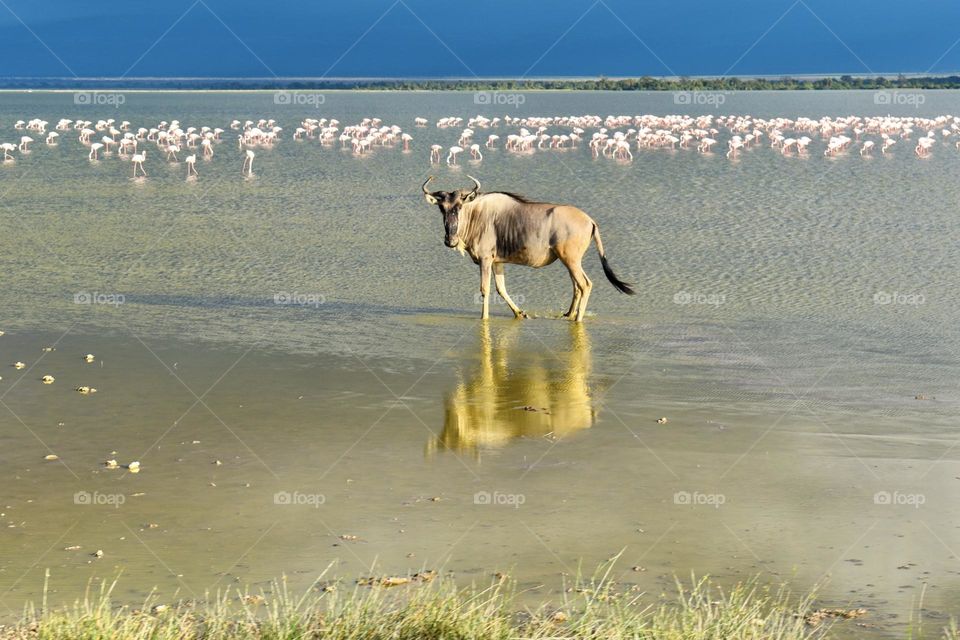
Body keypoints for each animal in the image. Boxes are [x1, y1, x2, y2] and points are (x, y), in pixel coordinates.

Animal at [422, 176, 634, 321]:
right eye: (441, 208)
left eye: (459, 206)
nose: (450, 240)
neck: (477, 214)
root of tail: (590, 220)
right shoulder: (497, 262)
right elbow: (501, 289)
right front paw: (520, 313)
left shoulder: (485, 260)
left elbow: (485, 289)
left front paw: (484, 318)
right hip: (569, 261)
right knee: (576, 286)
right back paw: (568, 314)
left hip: (571, 260)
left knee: (585, 285)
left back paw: (577, 319)